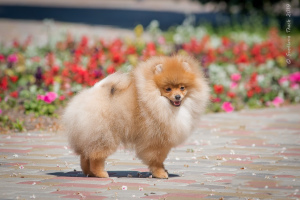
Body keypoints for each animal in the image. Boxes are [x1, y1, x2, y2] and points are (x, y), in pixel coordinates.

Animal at [63, 54, 209, 178]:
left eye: (182, 87)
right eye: (168, 89)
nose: (178, 96)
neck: (159, 101)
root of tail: (92, 93)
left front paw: (164, 170)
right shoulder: (156, 140)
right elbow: (157, 160)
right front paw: (160, 173)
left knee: (85, 155)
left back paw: (89, 173)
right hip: (104, 135)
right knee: (95, 156)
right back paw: (101, 174)